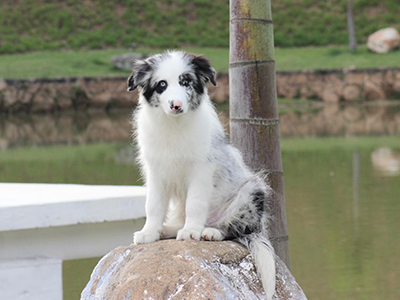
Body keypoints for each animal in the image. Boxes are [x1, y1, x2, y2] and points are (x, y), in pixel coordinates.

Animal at [127, 50, 276, 298]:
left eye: (185, 81)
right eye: (161, 85)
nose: (176, 105)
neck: (174, 125)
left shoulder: (201, 169)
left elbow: (195, 203)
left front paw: (190, 232)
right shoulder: (155, 170)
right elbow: (154, 205)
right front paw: (149, 232)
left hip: (252, 190)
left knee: (236, 228)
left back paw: (210, 231)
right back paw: (167, 229)